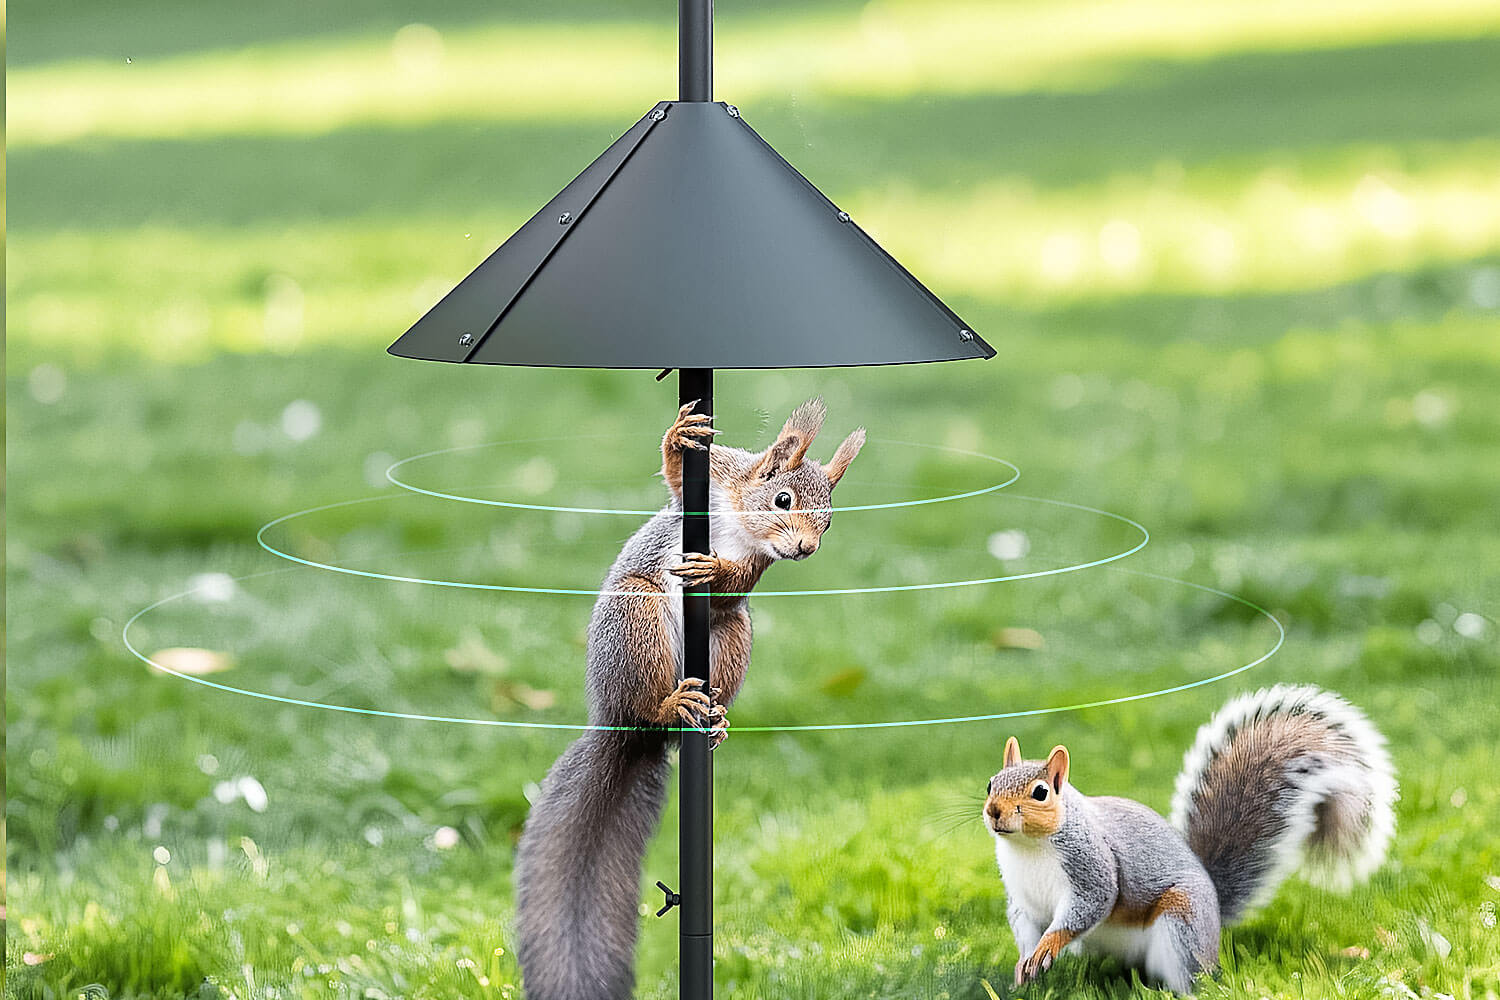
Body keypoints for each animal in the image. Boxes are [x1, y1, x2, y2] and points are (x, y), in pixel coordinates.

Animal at [513, 397, 865, 1000]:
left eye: (829, 520)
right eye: (783, 500)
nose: (805, 549)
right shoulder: (710, 484)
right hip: (637, 618)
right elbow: (677, 476)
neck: (743, 518)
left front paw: (717, 567)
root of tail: (625, 725)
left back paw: (712, 717)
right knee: (649, 695)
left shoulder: (755, 568)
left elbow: (737, 579)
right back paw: (669, 707)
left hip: (730, 637)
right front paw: (680, 435)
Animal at [984, 685, 1398, 994]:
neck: (1029, 848)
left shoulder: (1092, 867)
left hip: (1183, 920)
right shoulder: (1023, 897)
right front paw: (1024, 967)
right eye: (990, 784)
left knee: (1193, 979)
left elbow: (1087, 907)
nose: (993, 812)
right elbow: (1025, 927)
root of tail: (1214, 909)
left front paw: (1049, 946)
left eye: (1040, 793)